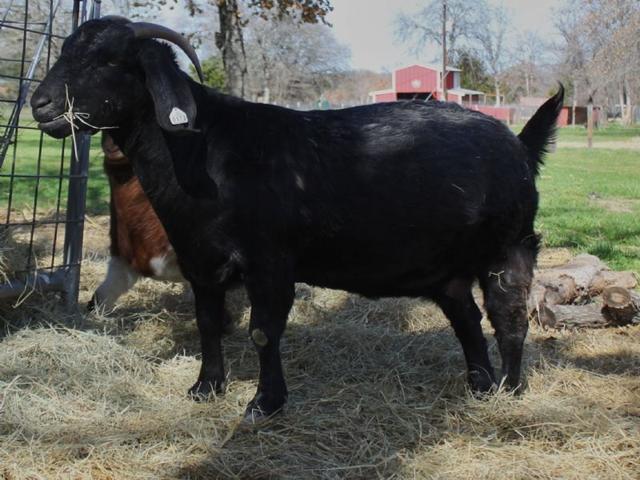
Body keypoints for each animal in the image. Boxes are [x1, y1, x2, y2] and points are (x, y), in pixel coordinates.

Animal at [32, 17, 564, 422]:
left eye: (110, 61)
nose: (41, 104)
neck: (206, 150)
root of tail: (520, 144)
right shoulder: (200, 262)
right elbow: (207, 323)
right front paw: (206, 387)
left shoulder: (270, 262)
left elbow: (263, 331)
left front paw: (264, 404)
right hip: (447, 270)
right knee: (467, 318)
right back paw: (479, 385)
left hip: (509, 246)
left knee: (509, 317)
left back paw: (509, 390)